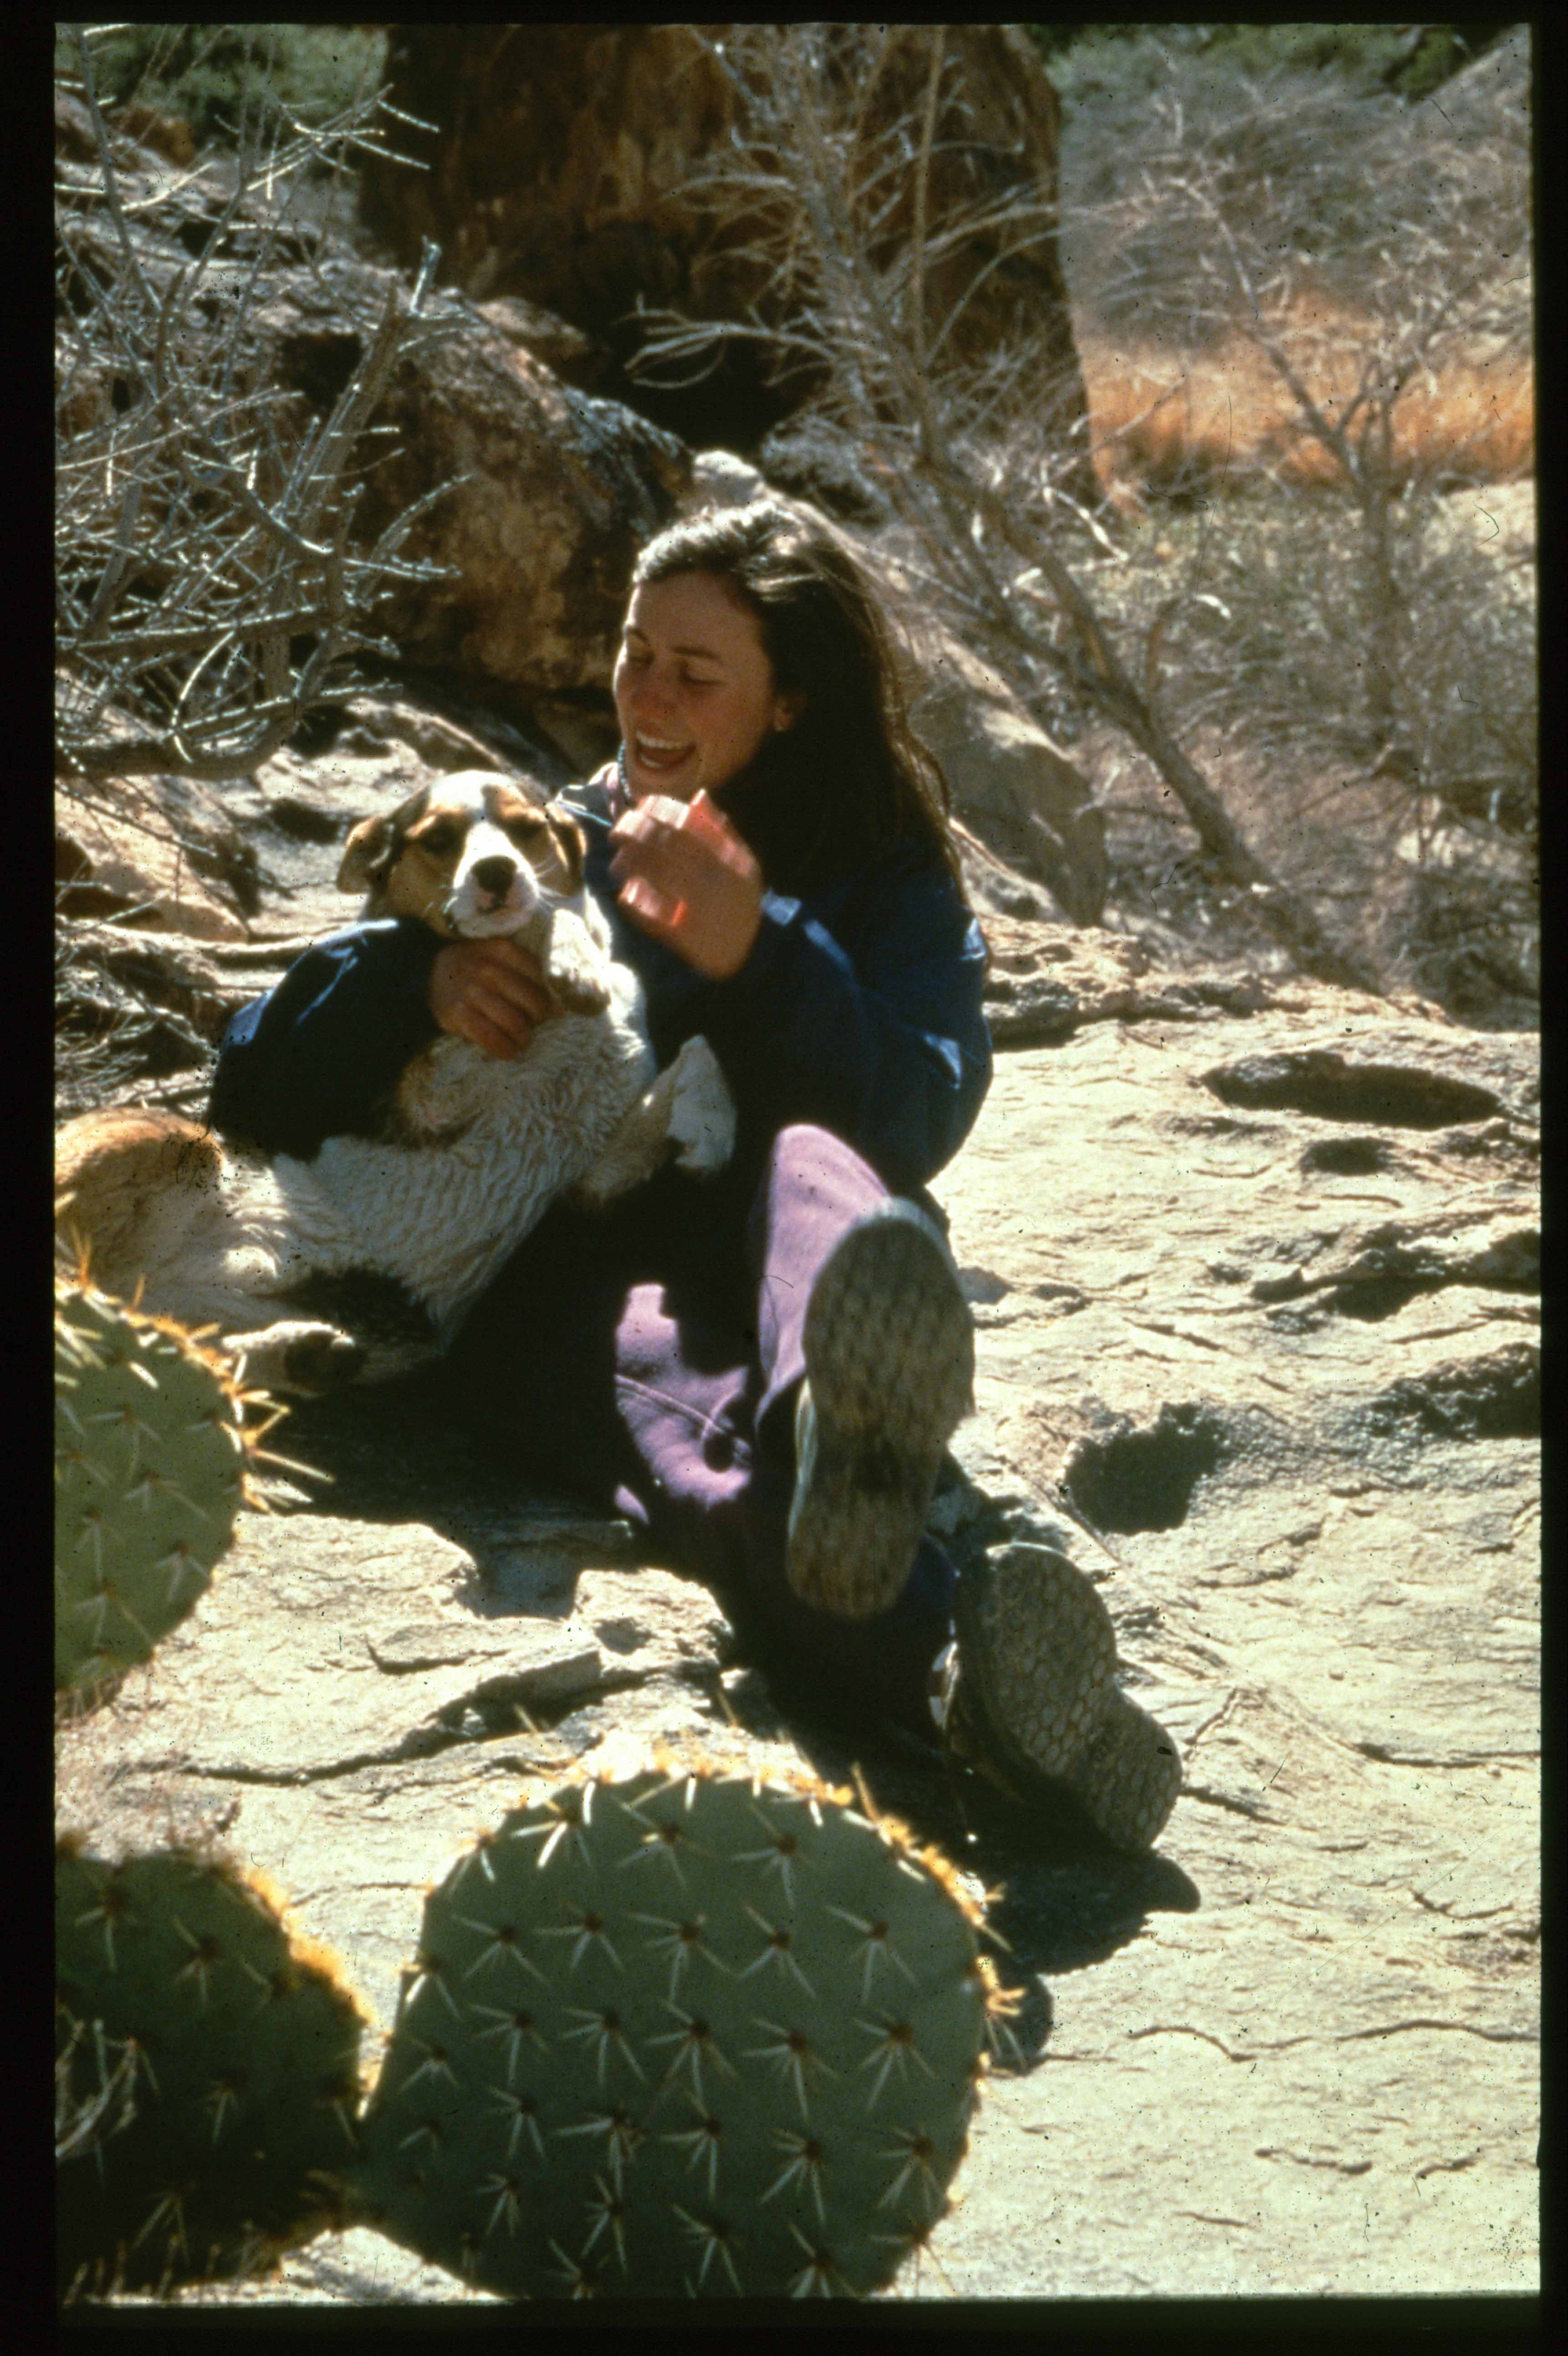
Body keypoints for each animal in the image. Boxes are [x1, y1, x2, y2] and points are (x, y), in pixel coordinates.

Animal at [50, 773, 734, 1394]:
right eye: (437, 839)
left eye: (526, 828)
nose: (496, 873)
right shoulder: (433, 1094)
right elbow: (546, 918)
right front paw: (573, 961)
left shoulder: (593, 1176)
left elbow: (702, 1054)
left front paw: (711, 1136)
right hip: (170, 1146)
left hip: (346, 1335)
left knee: (173, 1344)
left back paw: (297, 1356)